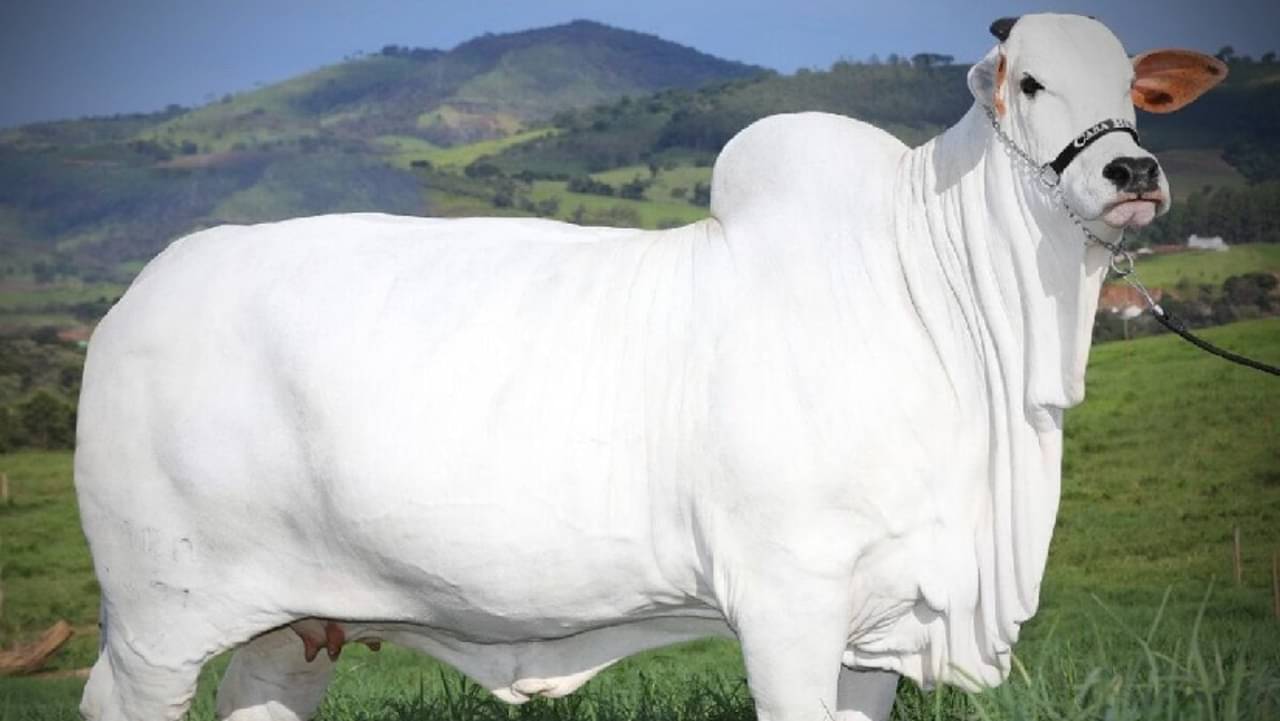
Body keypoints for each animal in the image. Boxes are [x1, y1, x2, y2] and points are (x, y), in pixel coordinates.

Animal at [74, 14, 1225, 721]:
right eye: (1029, 81)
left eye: (1133, 88)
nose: (1132, 172)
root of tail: (135, 300)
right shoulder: (786, 600)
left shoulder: (880, 625)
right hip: (158, 617)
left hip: (294, 623)